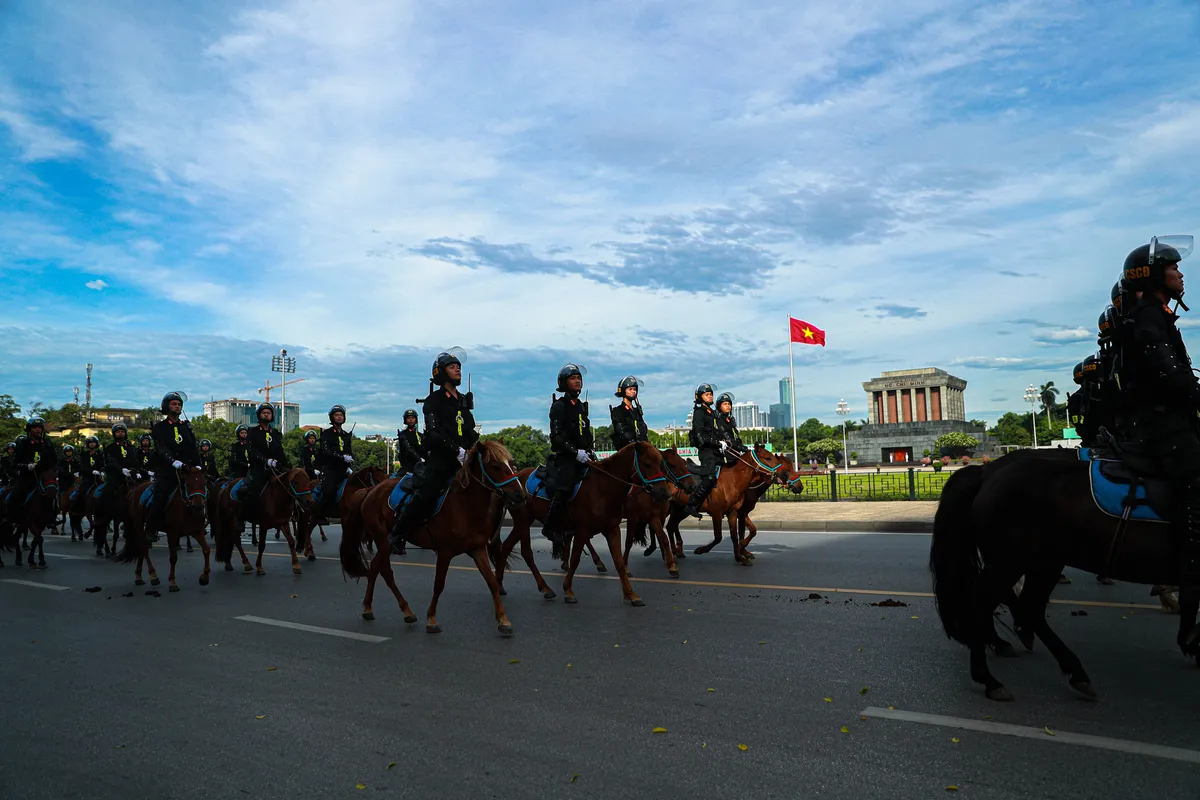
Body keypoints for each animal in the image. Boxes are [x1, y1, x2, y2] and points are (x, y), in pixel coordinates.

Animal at [338, 441, 525, 633]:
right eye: (495, 466)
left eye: (512, 464)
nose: (520, 494)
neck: (464, 506)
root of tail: (370, 490)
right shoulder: (445, 552)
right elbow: (439, 584)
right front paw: (432, 619)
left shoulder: (478, 549)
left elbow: (492, 582)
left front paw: (503, 620)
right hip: (382, 539)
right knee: (385, 570)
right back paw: (405, 610)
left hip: (385, 543)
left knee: (375, 566)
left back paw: (370, 608)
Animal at [494, 441, 672, 604]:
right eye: (647, 463)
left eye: (660, 464)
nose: (664, 493)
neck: (603, 487)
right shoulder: (582, 530)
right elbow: (575, 560)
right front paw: (568, 590)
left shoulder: (612, 529)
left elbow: (619, 562)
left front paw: (631, 594)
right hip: (523, 520)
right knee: (526, 552)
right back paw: (544, 587)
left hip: (522, 522)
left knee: (506, 547)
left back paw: (500, 585)